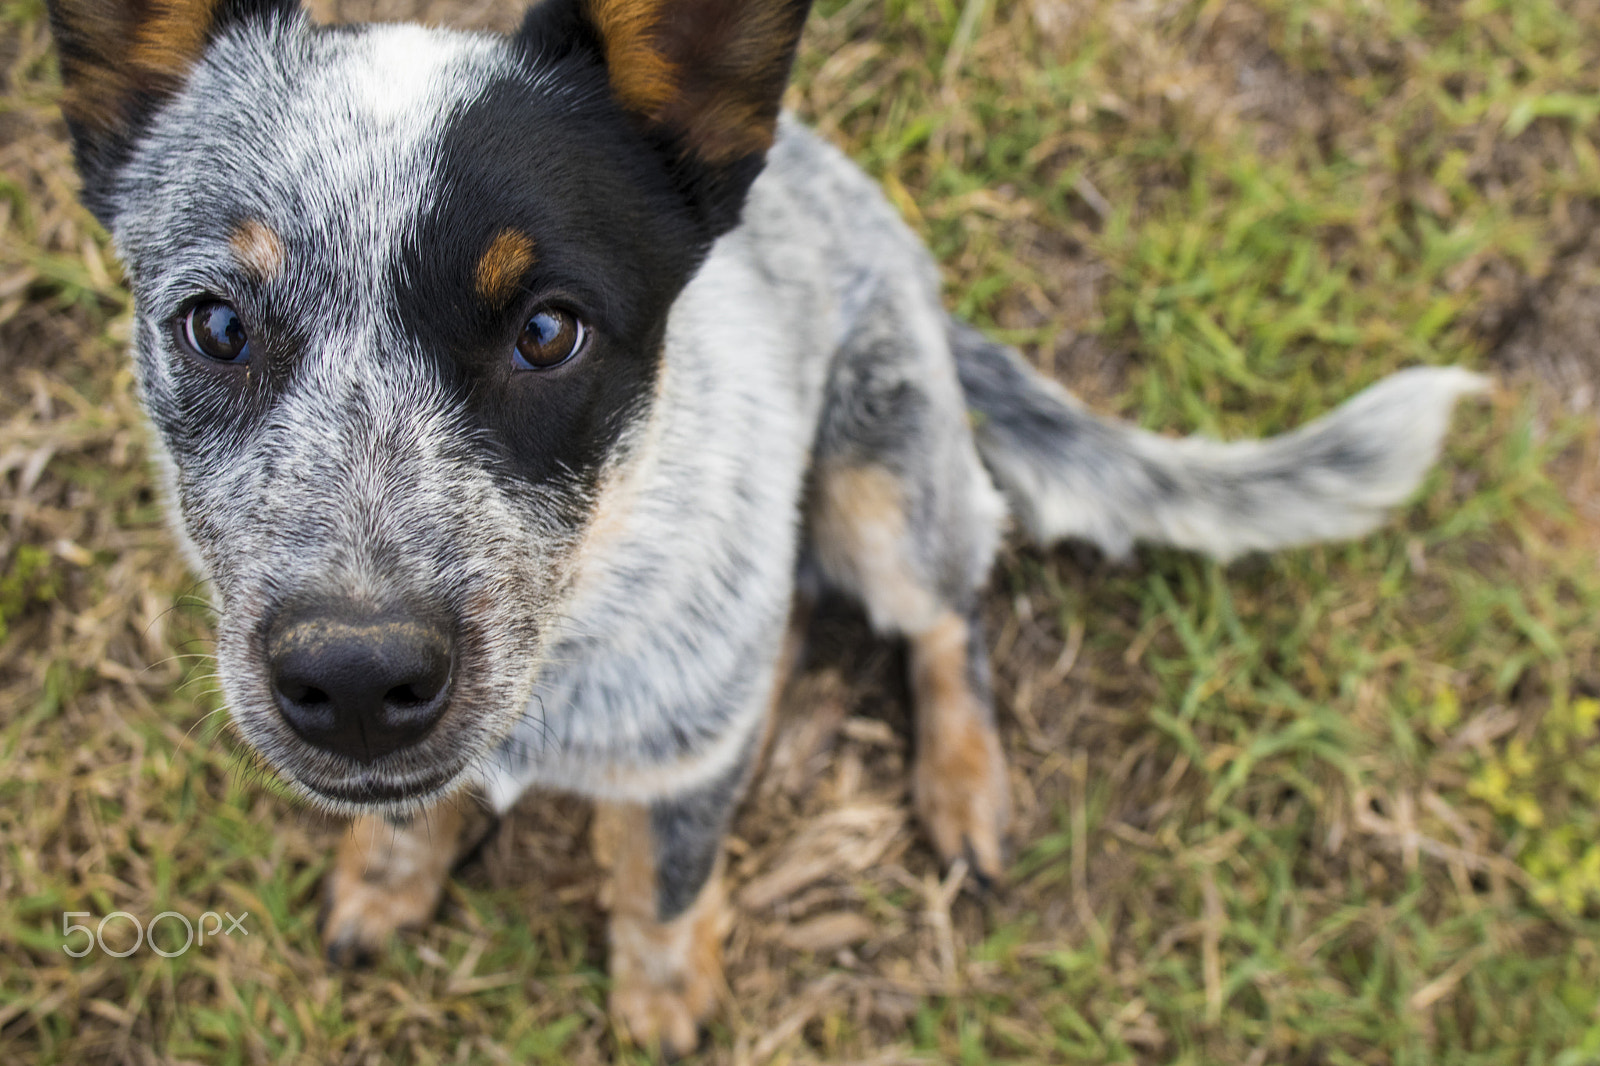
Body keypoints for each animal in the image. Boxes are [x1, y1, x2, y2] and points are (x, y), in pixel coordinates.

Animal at [40, 0, 1484, 1049]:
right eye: (216, 324)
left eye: (549, 327)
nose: (350, 675)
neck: (569, 641)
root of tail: (914, 269)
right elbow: (403, 820)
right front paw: (387, 883)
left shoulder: (694, 754)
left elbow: (665, 884)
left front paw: (661, 994)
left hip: (886, 492)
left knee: (951, 613)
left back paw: (964, 781)